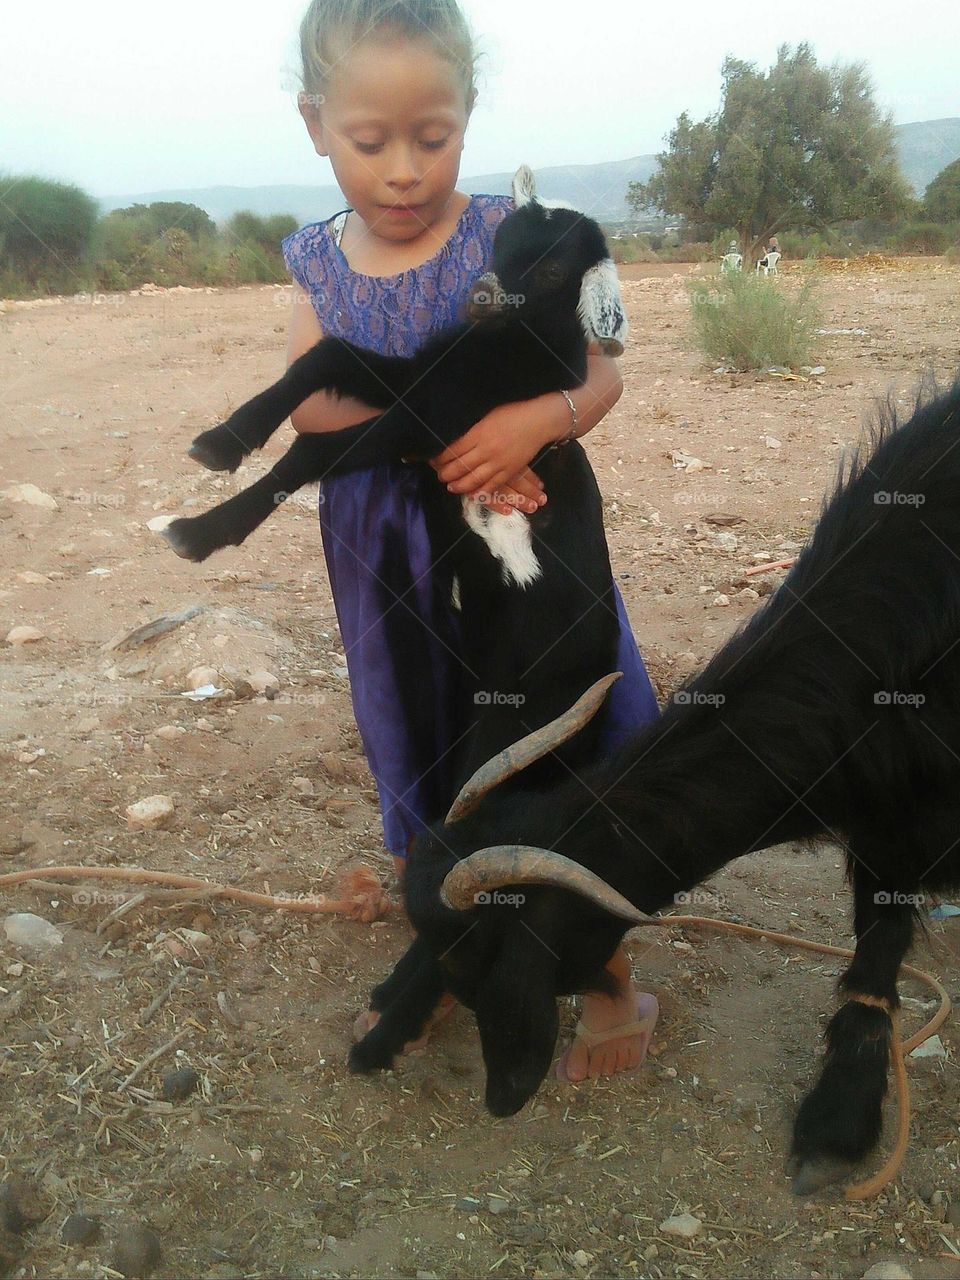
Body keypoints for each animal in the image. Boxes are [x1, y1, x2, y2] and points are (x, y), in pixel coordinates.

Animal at [355, 378, 960, 1198]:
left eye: (492, 966)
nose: (503, 1097)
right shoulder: (886, 817)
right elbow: (877, 945)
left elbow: (879, 952)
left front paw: (835, 1127)